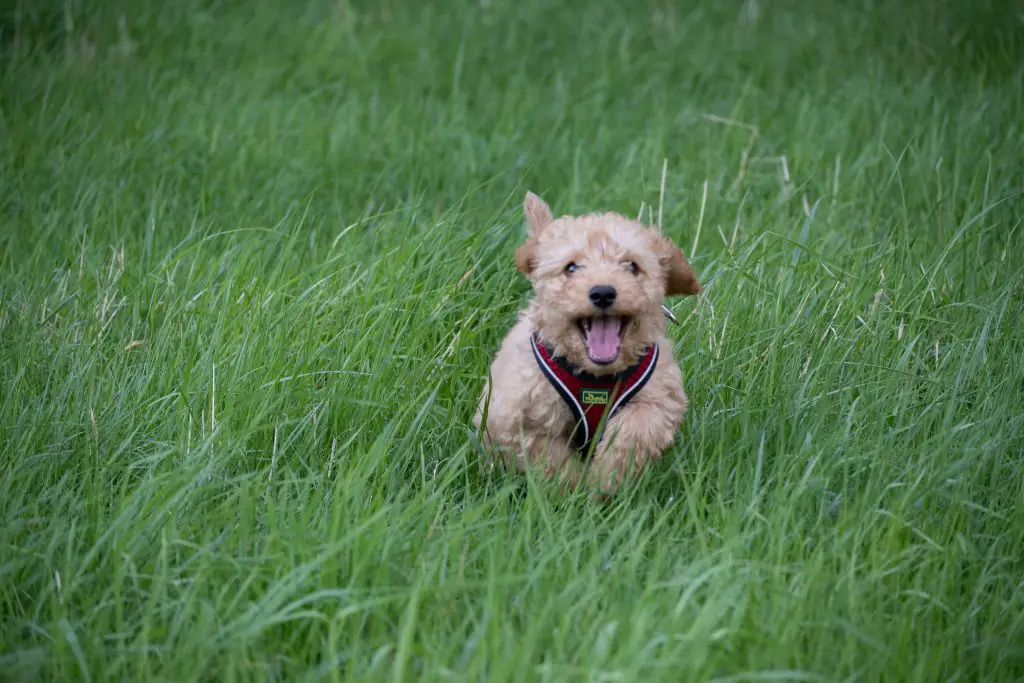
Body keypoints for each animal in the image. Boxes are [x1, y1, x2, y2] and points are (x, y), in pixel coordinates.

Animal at [473, 191, 704, 491]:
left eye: (632, 266)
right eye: (571, 267)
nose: (603, 293)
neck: (596, 376)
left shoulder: (658, 398)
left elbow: (635, 431)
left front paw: (605, 480)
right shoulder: (520, 416)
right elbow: (551, 459)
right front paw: (574, 490)